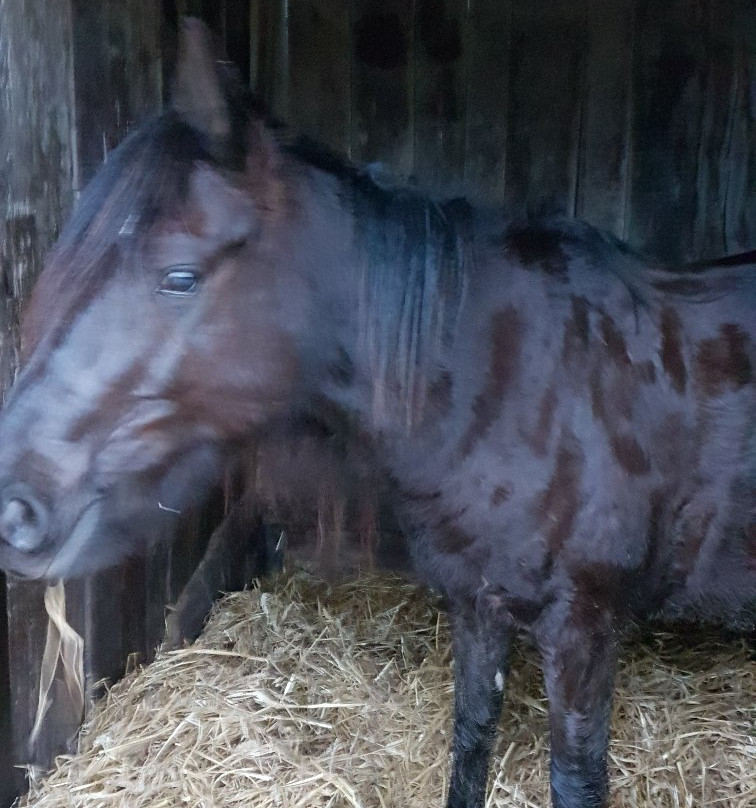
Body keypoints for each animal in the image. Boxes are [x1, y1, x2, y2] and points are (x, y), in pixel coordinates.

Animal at [1, 22, 756, 808]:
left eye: (179, 276)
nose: (16, 508)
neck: (514, 379)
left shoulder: (584, 630)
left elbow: (572, 780)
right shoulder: (478, 605)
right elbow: (470, 742)